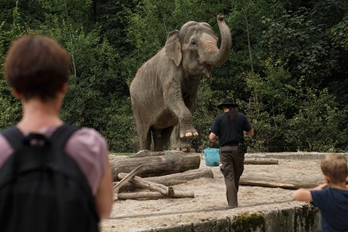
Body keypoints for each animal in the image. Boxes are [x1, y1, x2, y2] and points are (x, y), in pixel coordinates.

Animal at [129, 14, 232, 152]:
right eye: (193, 43)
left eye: (216, 40)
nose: (220, 16)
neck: (176, 36)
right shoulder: (167, 71)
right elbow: (173, 98)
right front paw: (190, 135)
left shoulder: (194, 82)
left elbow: (190, 103)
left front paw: (184, 148)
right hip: (138, 108)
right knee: (144, 135)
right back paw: (144, 152)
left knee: (162, 136)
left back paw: (158, 152)